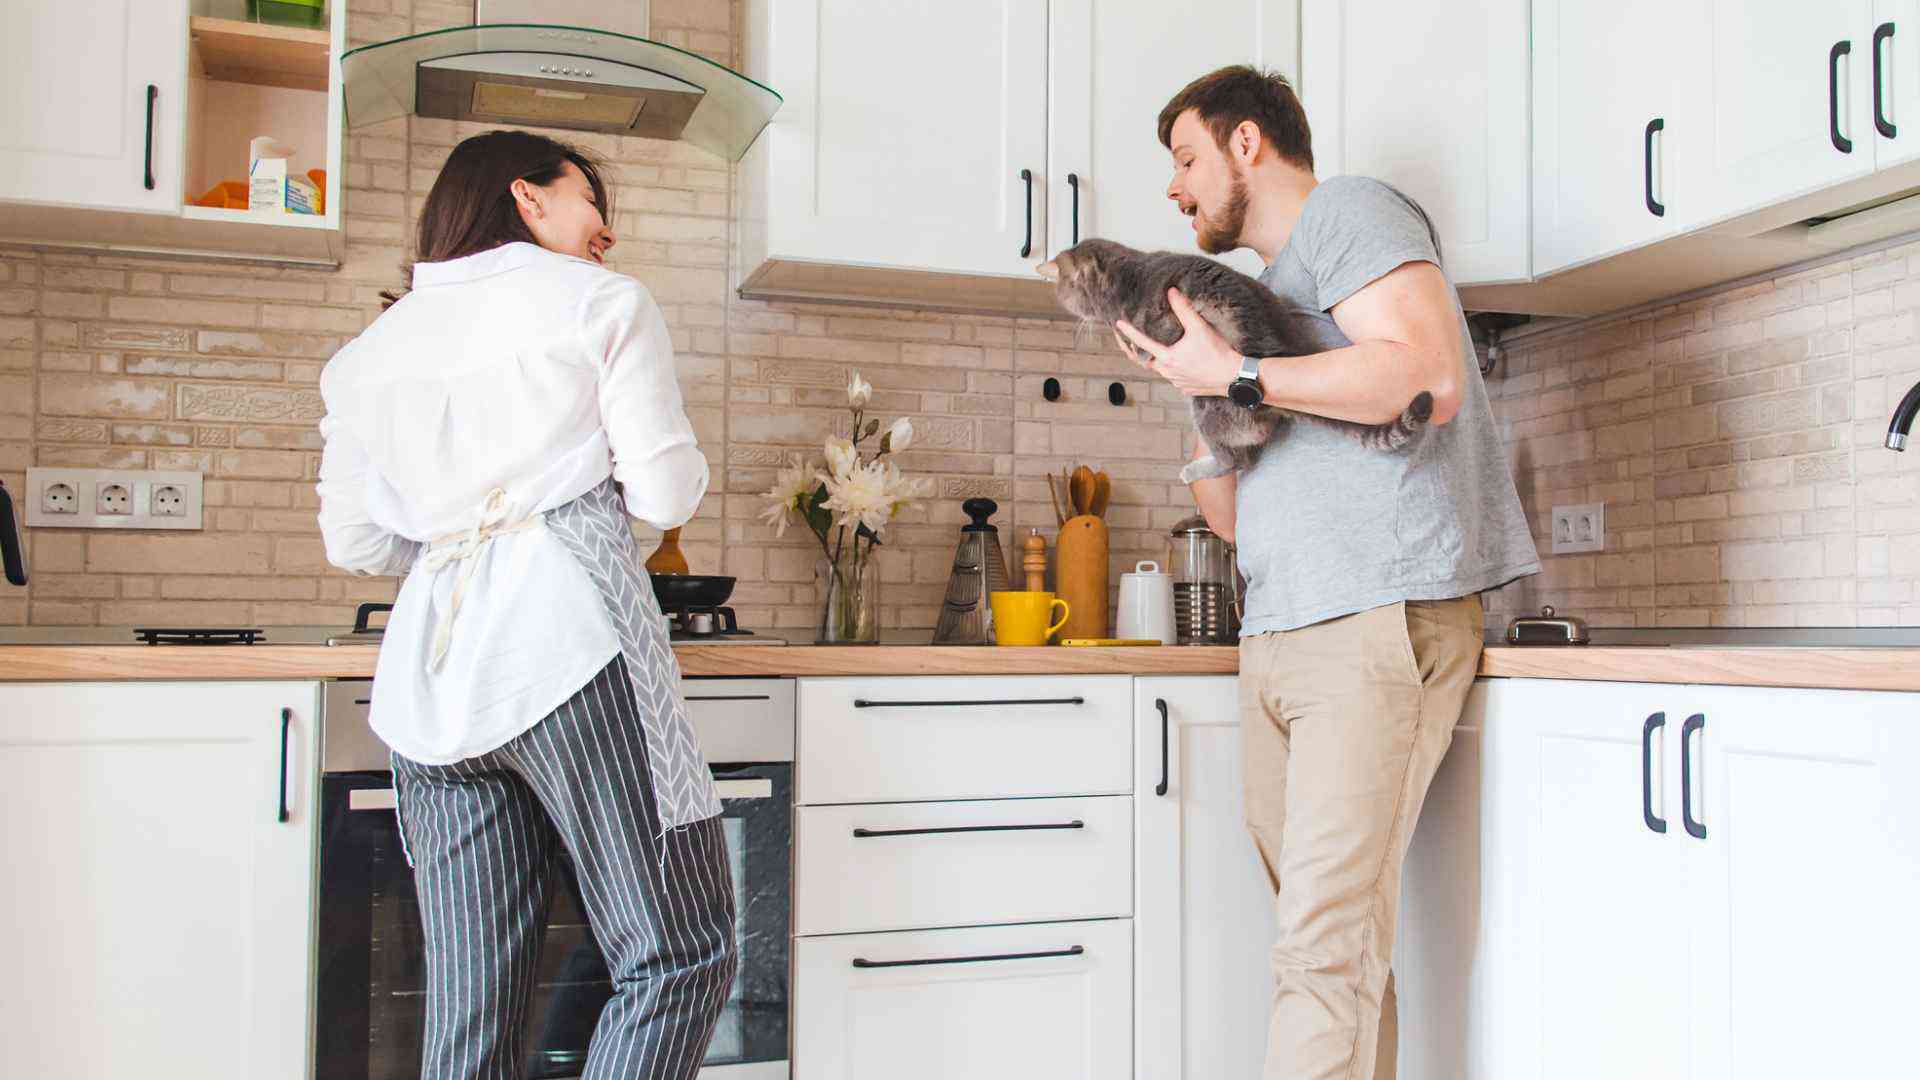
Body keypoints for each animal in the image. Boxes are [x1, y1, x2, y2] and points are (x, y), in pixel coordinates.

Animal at [1044, 244, 1436, 484]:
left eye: (1062, 291)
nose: (1059, 298)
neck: (1127, 275)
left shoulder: (1160, 327)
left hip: (1206, 407)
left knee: (1236, 461)